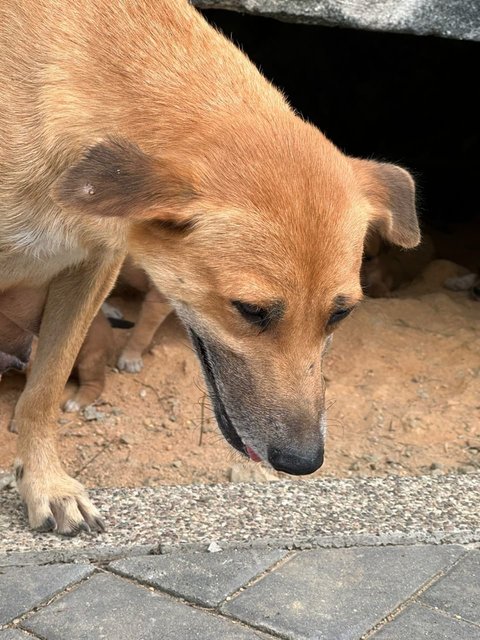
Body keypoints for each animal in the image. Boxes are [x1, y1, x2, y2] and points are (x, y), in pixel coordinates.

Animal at [0, 1, 418, 536]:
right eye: (250, 309)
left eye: (340, 314)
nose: (303, 462)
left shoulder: (92, 265)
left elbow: (44, 391)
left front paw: (44, 483)